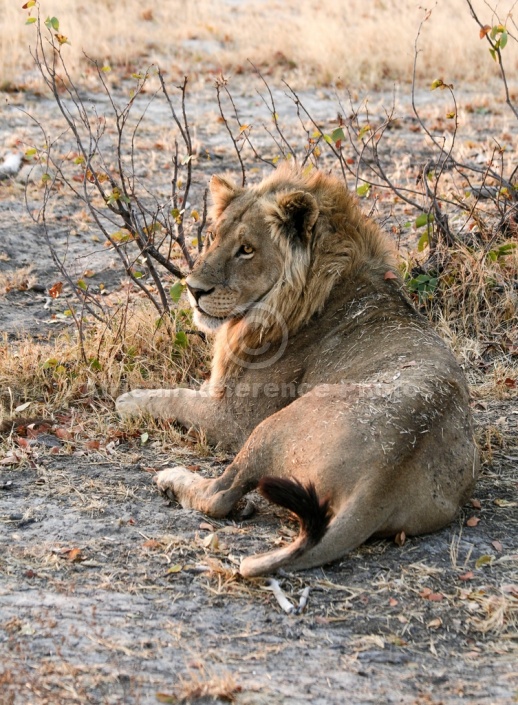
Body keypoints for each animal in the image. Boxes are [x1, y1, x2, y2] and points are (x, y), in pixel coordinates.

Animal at [116, 165, 482, 576]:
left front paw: (129, 400)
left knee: (220, 495)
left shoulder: (233, 418)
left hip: (268, 429)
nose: (193, 290)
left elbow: (176, 398)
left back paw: (173, 480)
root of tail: (383, 478)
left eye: (247, 249)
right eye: (212, 237)